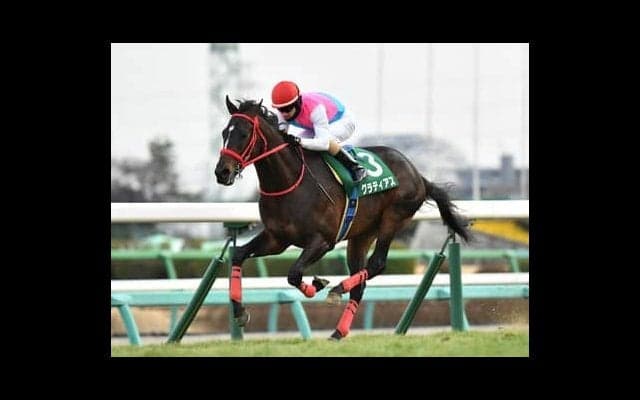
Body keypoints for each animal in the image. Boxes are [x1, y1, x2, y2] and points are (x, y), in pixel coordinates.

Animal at [214, 96, 471, 340]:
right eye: (224, 132)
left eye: (244, 134)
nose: (222, 172)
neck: (290, 182)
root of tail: (418, 174)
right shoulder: (276, 239)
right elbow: (238, 255)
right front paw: (239, 312)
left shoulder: (322, 241)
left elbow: (294, 273)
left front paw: (317, 284)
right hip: (361, 235)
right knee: (361, 282)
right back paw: (338, 332)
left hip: (394, 217)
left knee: (377, 263)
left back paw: (337, 289)